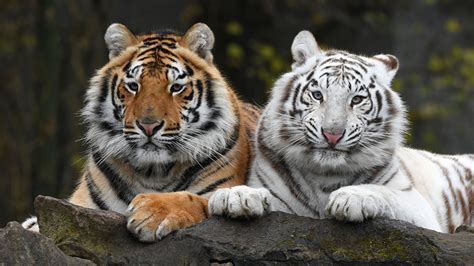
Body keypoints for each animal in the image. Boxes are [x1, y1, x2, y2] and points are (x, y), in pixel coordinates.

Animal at [211, 29, 474, 233]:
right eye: (318, 95)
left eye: (357, 99)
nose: (333, 134)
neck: (324, 176)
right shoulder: (280, 198)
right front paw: (234, 196)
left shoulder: (419, 208)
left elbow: (383, 191)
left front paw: (351, 198)